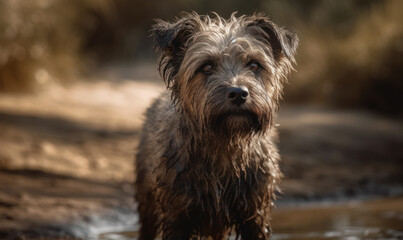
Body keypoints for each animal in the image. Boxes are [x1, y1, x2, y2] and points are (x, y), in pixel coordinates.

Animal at [137, 12, 298, 239]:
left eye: (254, 65)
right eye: (206, 66)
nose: (238, 93)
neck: (226, 142)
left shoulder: (256, 215)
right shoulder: (176, 215)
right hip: (147, 201)